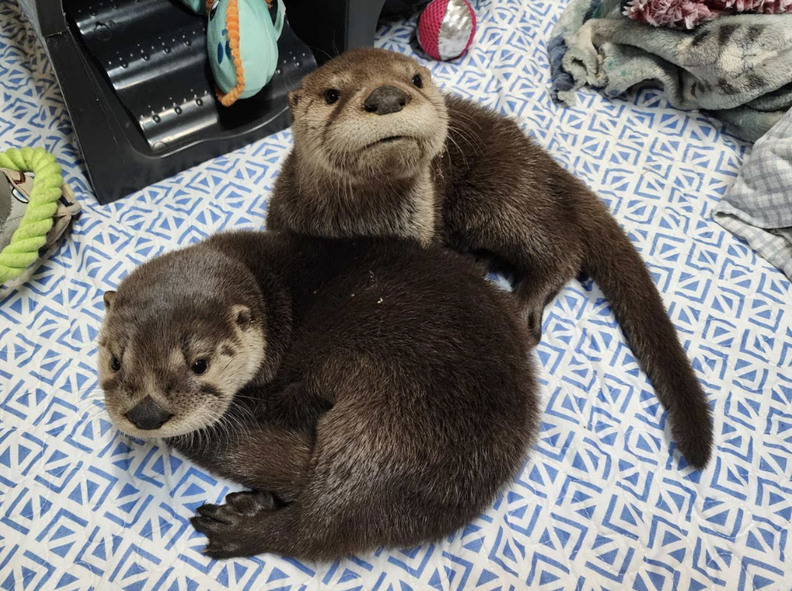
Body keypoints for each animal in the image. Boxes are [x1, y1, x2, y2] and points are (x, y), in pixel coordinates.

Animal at [98, 231, 539, 560]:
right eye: (116, 360)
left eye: (199, 363)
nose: (148, 414)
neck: (272, 297)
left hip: (383, 428)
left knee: (317, 528)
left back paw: (242, 526)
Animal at [266, 47, 714, 470]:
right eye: (331, 94)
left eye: (415, 79)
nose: (388, 96)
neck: (362, 230)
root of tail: (541, 160)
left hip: (498, 195)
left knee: (562, 249)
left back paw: (523, 305)